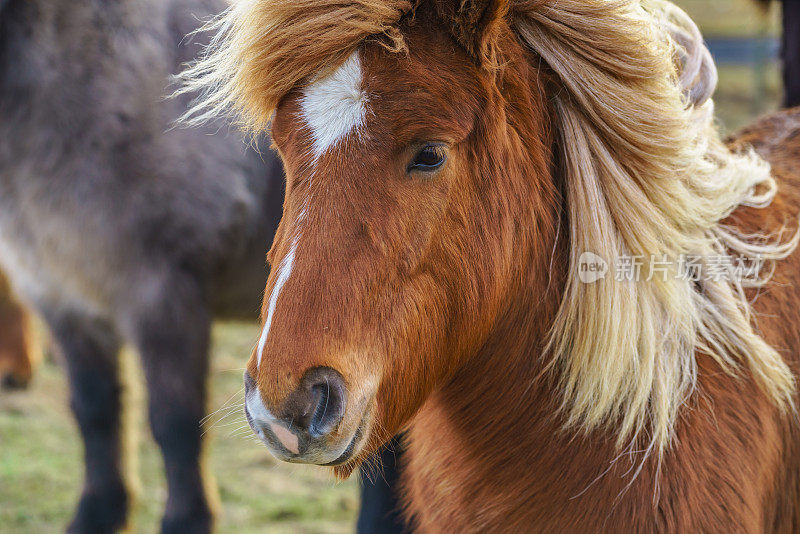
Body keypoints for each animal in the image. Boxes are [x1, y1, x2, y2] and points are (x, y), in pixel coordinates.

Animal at [0, 2, 286, 532]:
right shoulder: (61, 295)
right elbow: (96, 411)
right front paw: (98, 513)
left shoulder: (160, 293)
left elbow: (175, 421)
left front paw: (186, 520)